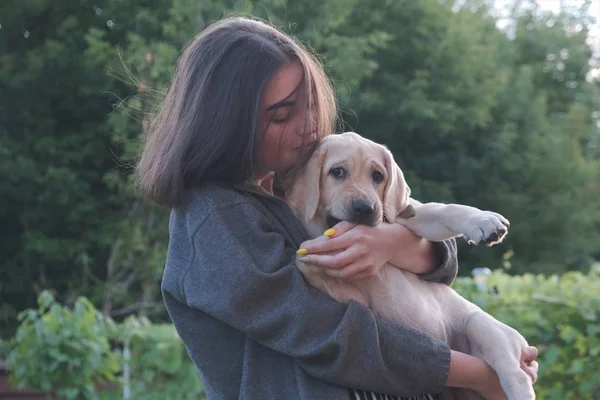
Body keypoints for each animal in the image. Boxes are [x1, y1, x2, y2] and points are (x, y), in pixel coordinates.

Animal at [284, 132, 536, 400]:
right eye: (337, 172)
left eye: (378, 176)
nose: (365, 208)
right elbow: (306, 260)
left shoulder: (406, 214)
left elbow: (444, 209)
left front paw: (483, 220)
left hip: (482, 327)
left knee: (516, 375)